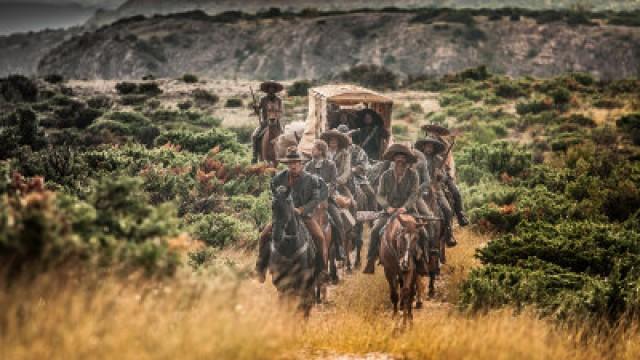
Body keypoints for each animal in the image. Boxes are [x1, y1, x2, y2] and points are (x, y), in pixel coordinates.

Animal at [268, 187, 320, 316]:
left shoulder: (301, 283)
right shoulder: (282, 284)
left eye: (288, 205)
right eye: (272, 206)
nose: (276, 235)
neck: (289, 249)